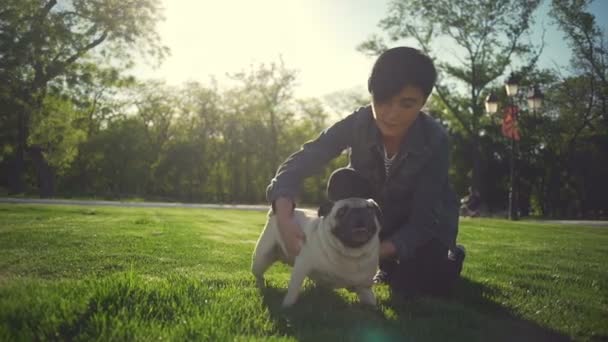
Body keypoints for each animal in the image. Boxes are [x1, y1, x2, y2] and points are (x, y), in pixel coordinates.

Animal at [251, 198, 380, 308]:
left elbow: (371, 302)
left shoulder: (364, 286)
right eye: (342, 212)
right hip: (261, 258)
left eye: (370, 210)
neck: (351, 254)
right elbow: (293, 291)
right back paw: (263, 287)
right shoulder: (301, 267)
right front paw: (286, 307)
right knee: (259, 274)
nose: (358, 211)